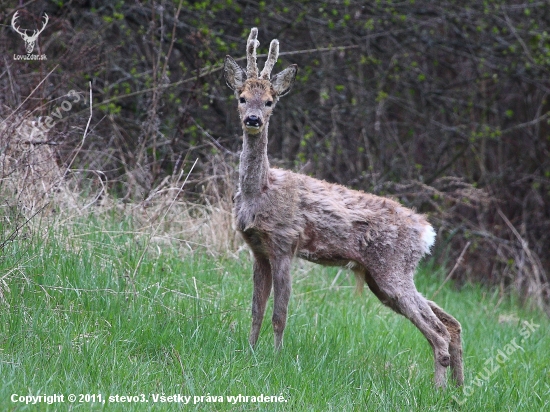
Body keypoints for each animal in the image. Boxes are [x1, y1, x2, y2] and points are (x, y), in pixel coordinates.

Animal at [224, 27, 466, 388]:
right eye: (241, 97)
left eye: (270, 101)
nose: (253, 119)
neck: (261, 189)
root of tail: (427, 232)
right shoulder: (258, 249)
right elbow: (256, 310)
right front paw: (249, 352)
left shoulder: (284, 243)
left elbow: (280, 313)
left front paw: (276, 360)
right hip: (384, 278)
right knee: (450, 322)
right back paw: (458, 388)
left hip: (392, 270)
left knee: (437, 330)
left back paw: (439, 389)